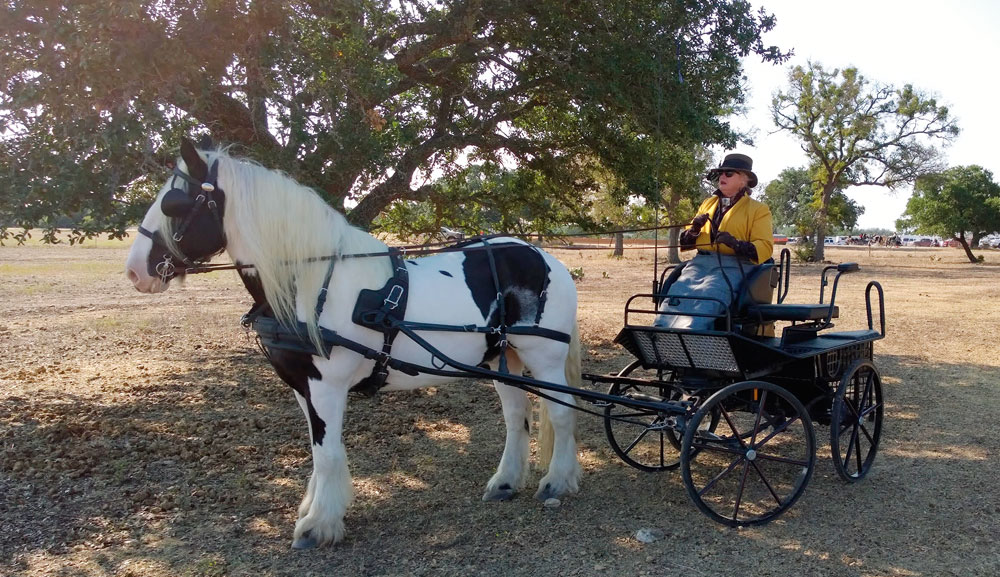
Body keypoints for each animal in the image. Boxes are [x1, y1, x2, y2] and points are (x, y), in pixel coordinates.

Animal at [124, 140, 584, 548]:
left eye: (174, 202)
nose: (134, 271)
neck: (309, 284)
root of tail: (545, 257)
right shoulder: (303, 387)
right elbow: (318, 450)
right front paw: (315, 509)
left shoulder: (326, 386)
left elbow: (327, 453)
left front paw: (318, 526)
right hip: (503, 358)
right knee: (516, 417)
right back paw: (505, 482)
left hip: (544, 357)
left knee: (561, 415)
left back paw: (556, 482)